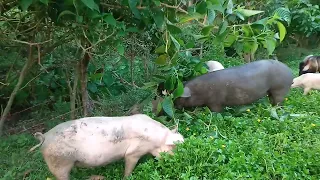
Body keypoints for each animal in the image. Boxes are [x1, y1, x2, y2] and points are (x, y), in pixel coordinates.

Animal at [30, 114, 185, 179]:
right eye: (174, 148)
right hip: (59, 163)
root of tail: (44, 137)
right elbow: (129, 166)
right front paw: (126, 177)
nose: (180, 160)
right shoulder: (133, 153)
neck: (157, 141)